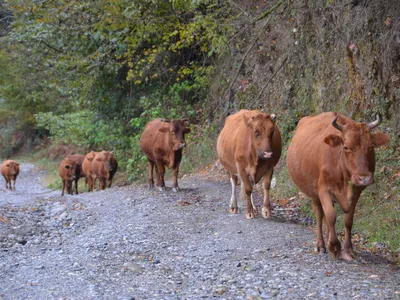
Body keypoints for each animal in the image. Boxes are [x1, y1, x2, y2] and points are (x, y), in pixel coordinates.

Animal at [288, 112, 390, 260]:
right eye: (346, 147)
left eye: (371, 147)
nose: (364, 178)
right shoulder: (323, 189)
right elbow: (331, 215)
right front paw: (335, 246)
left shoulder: (357, 190)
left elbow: (348, 220)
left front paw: (348, 249)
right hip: (313, 192)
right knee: (319, 214)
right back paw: (321, 244)